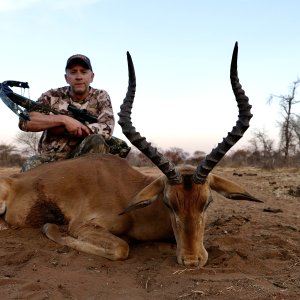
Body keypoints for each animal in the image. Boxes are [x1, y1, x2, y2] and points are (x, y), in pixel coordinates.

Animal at [0, 42, 260, 268]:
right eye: (168, 202)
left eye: (207, 202)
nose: (191, 261)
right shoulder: (82, 226)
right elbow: (121, 248)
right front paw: (50, 228)